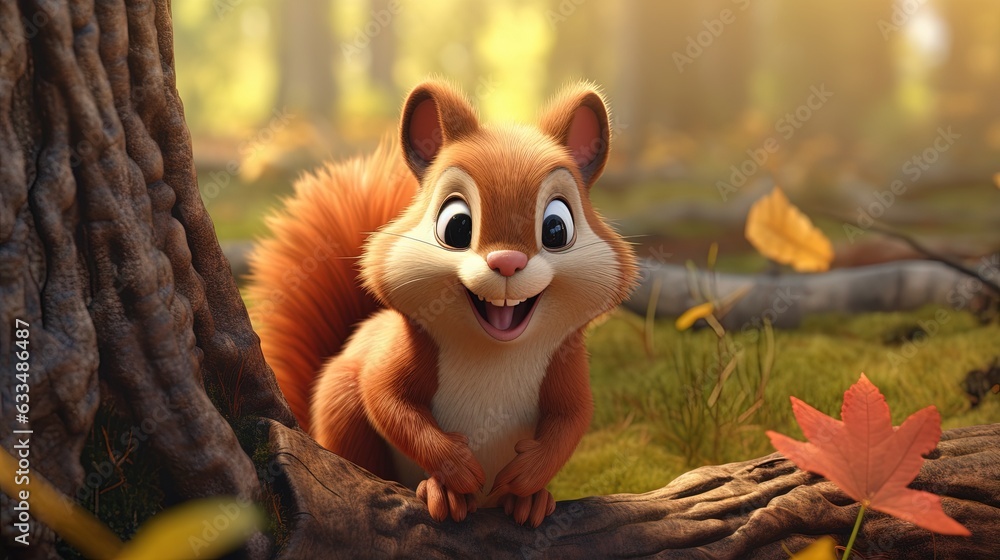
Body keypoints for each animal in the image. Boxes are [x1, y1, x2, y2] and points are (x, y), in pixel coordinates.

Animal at [248, 80, 637, 527]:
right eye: (456, 226)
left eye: (557, 228)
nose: (507, 262)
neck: (494, 353)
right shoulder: (403, 349)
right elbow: (388, 400)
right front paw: (458, 467)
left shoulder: (566, 362)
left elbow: (572, 419)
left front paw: (526, 477)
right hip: (340, 405)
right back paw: (442, 493)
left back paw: (530, 500)